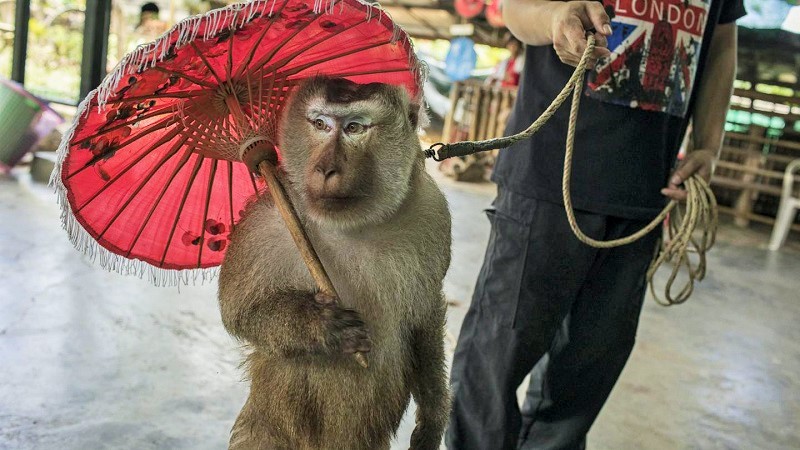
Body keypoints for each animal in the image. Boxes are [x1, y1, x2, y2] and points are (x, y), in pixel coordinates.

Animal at [219, 78, 454, 450]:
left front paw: (432, 418)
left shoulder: (431, 213)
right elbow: (239, 311)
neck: (352, 224)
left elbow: (424, 316)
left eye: (354, 128)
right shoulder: (264, 221)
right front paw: (320, 324)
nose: (326, 168)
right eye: (320, 125)